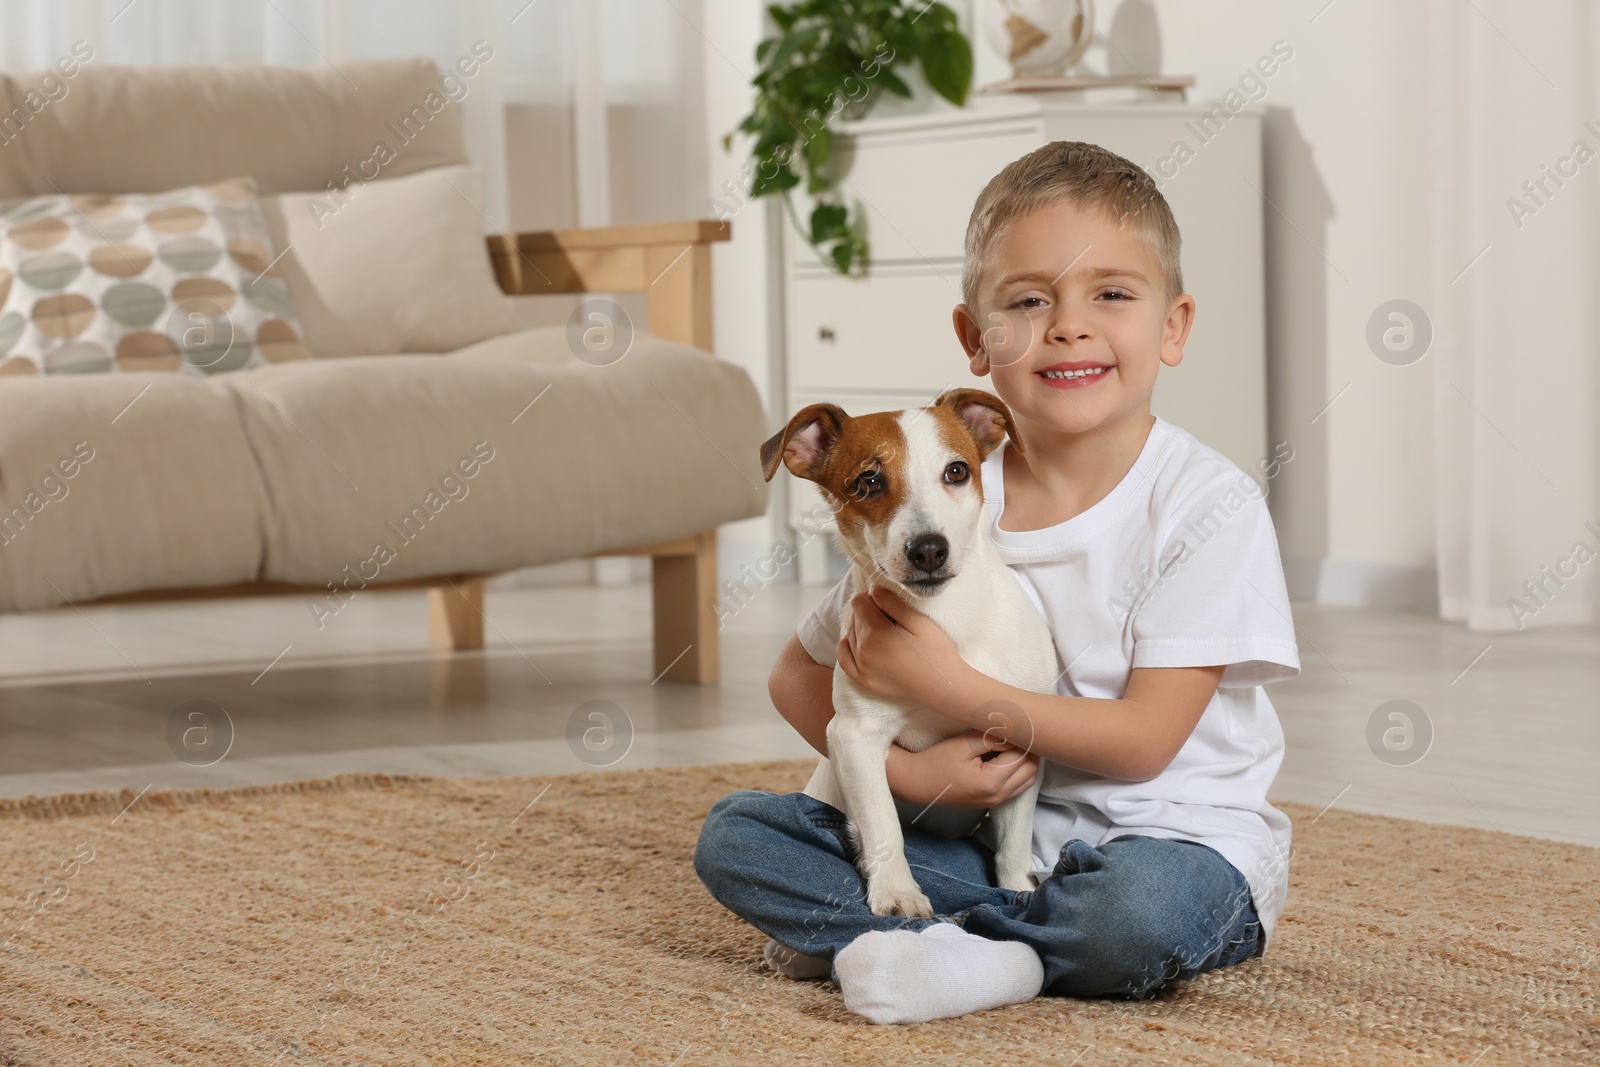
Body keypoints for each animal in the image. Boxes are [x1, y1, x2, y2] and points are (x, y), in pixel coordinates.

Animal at [761, 390, 1062, 921]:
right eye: (868, 481)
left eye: (957, 471)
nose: (928, 550)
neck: (944, 624)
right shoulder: (855, 737)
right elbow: (883, 825)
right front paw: (897, 892)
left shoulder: (1020, 748)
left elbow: (1014, 841)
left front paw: (1018, 891)